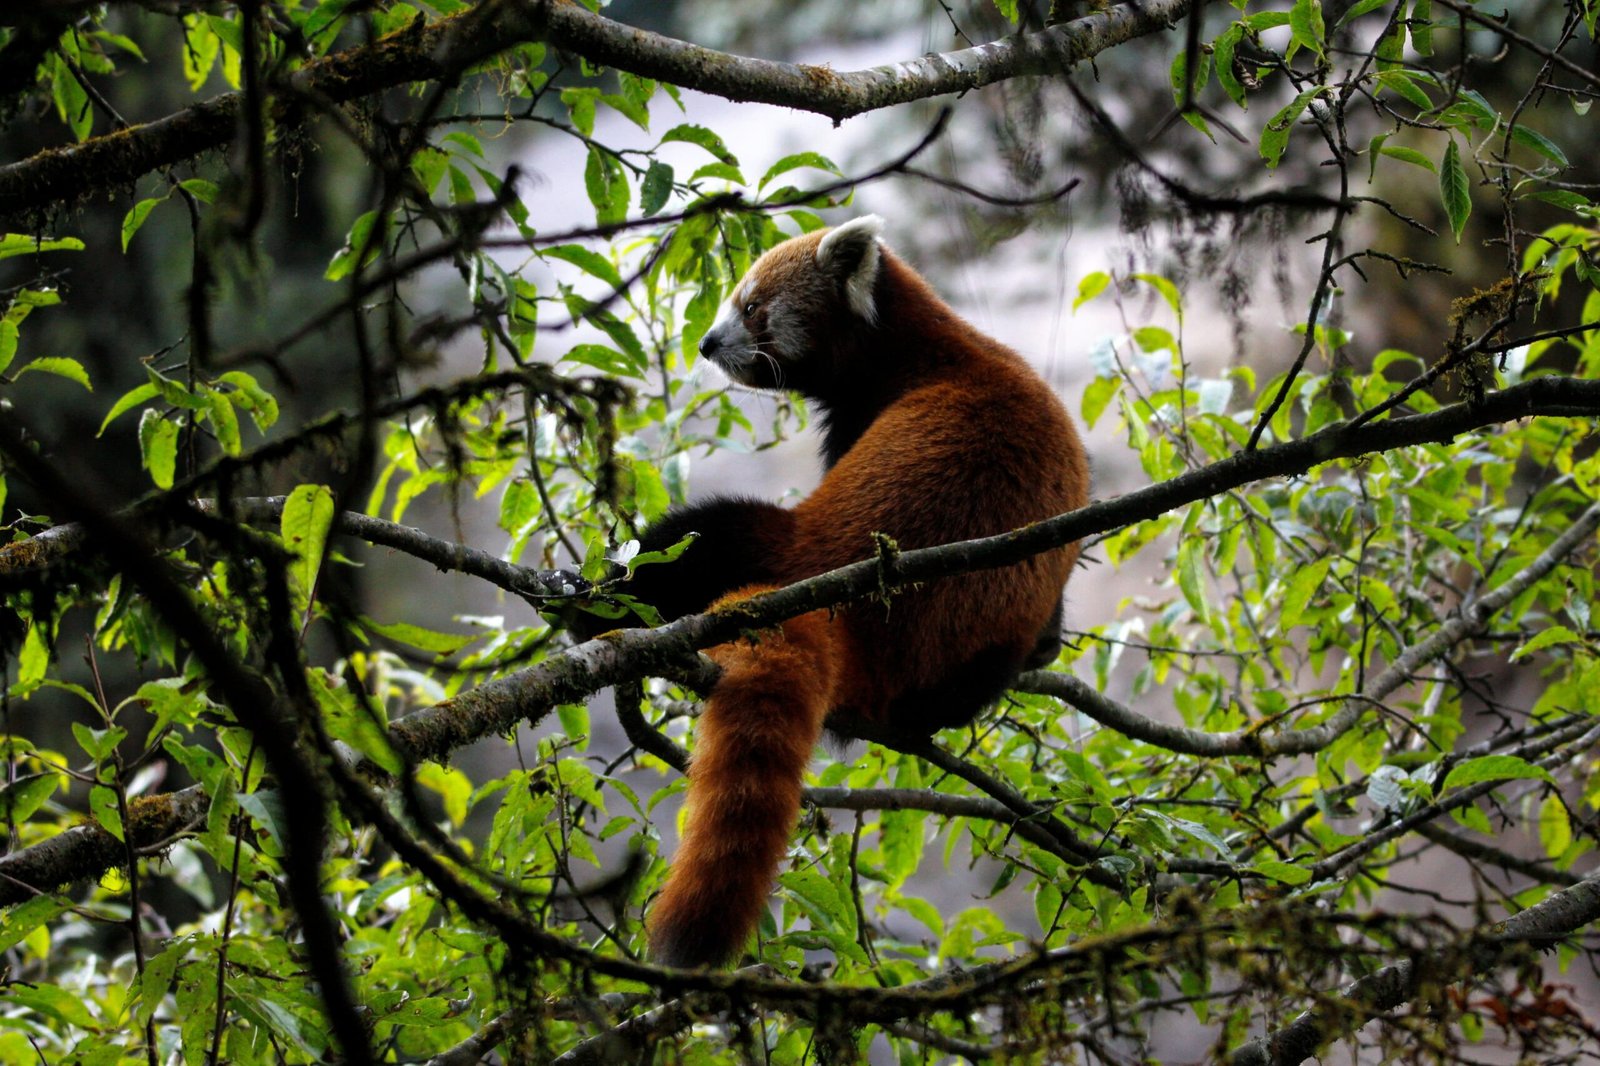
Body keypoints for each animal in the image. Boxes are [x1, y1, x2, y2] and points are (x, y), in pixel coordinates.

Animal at [604, 216, 1081, 960]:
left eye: (752, 307)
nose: (707, 343)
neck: (915, 346)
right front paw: (1050, 647)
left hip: (783, 543)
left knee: (703, 535)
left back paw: (594, 601)